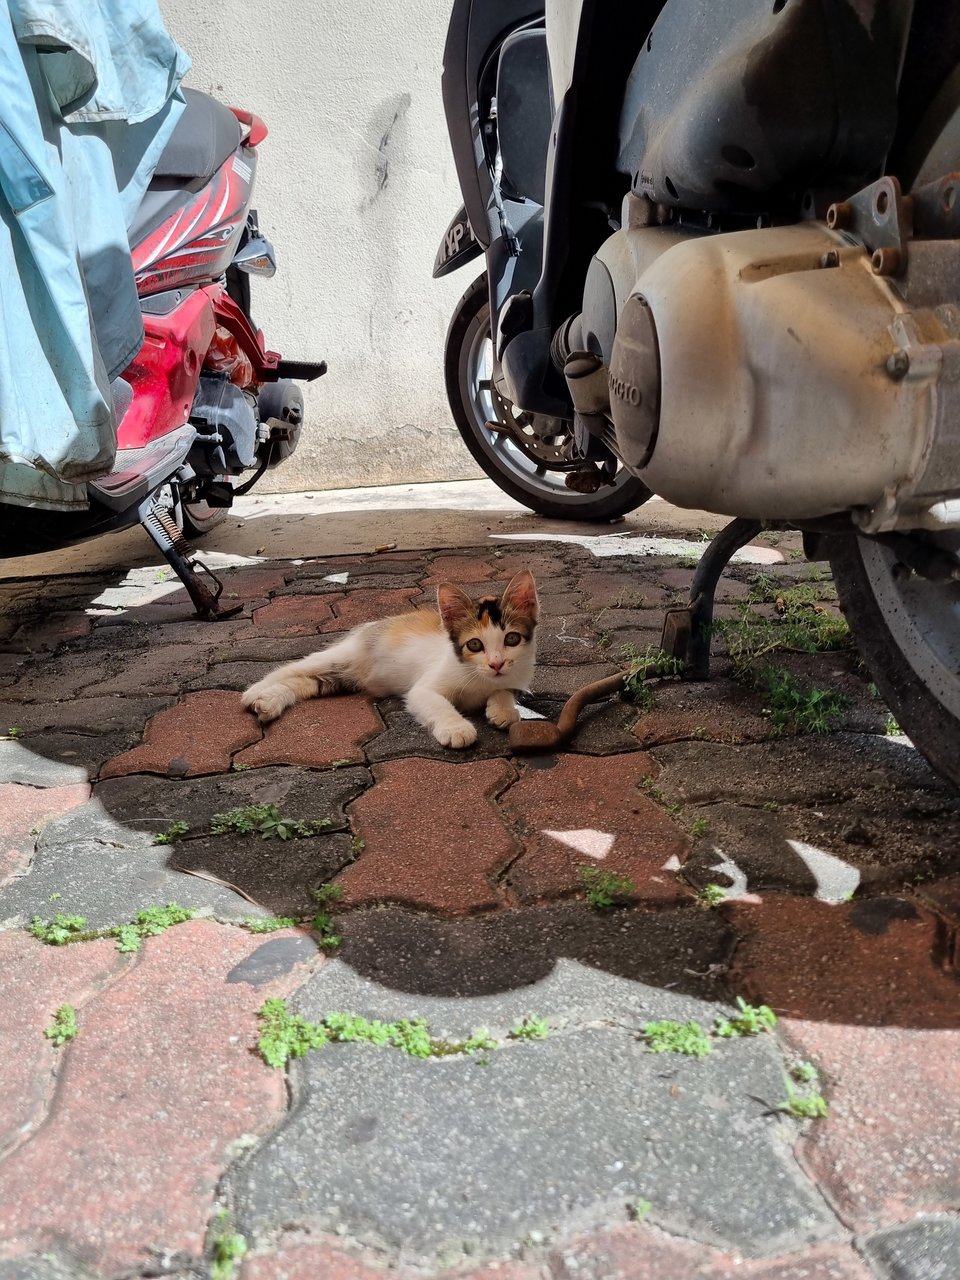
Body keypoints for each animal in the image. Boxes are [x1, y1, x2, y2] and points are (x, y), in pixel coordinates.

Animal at [241, 570, 542, 747]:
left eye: (511, 639)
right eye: (475, 644)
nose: (496, 663)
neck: (479, 677)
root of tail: (372, 624)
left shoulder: (515, 677)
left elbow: (505, 691)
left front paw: (503, 709)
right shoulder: (422, 689)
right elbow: (437, 703)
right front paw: (456, 728)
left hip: (341, 678)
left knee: (304, 682)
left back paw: (268, 702)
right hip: (343, 656)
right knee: (290, 668)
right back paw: (254, 693)